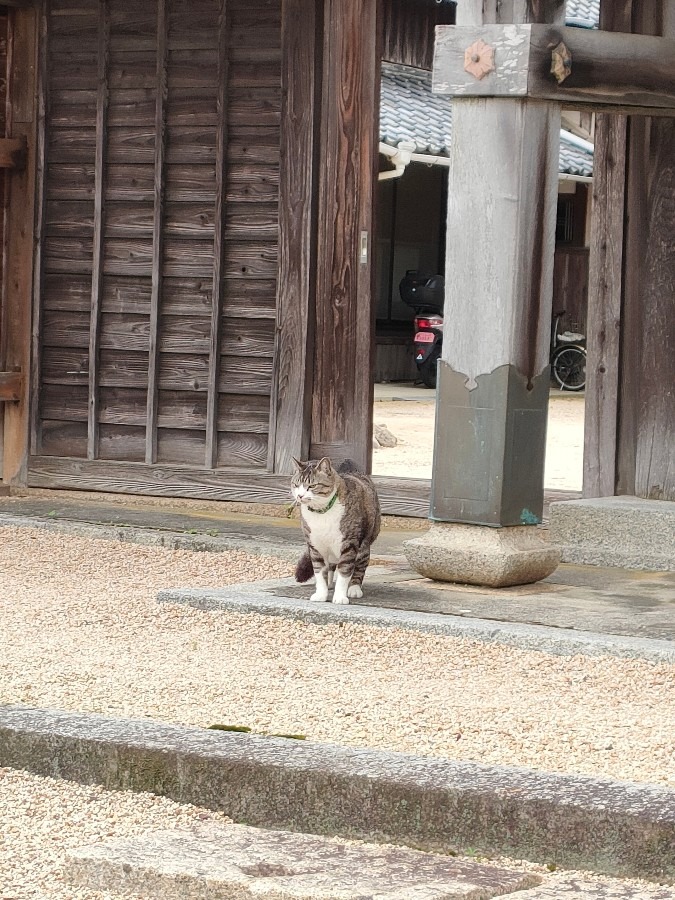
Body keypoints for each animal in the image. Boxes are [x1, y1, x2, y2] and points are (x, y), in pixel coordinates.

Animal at [290, 458, 380, 604]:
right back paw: (329, 582)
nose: (300, 495)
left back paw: (354, 588)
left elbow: (344, 573)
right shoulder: (315, 547)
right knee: (331, 565)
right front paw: (321, 594)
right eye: (296, 485)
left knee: (360, 566)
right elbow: (319, 572)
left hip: (364, 545)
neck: (321, 513)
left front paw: (340, 597)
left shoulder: (349, 544)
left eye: (312, 486)